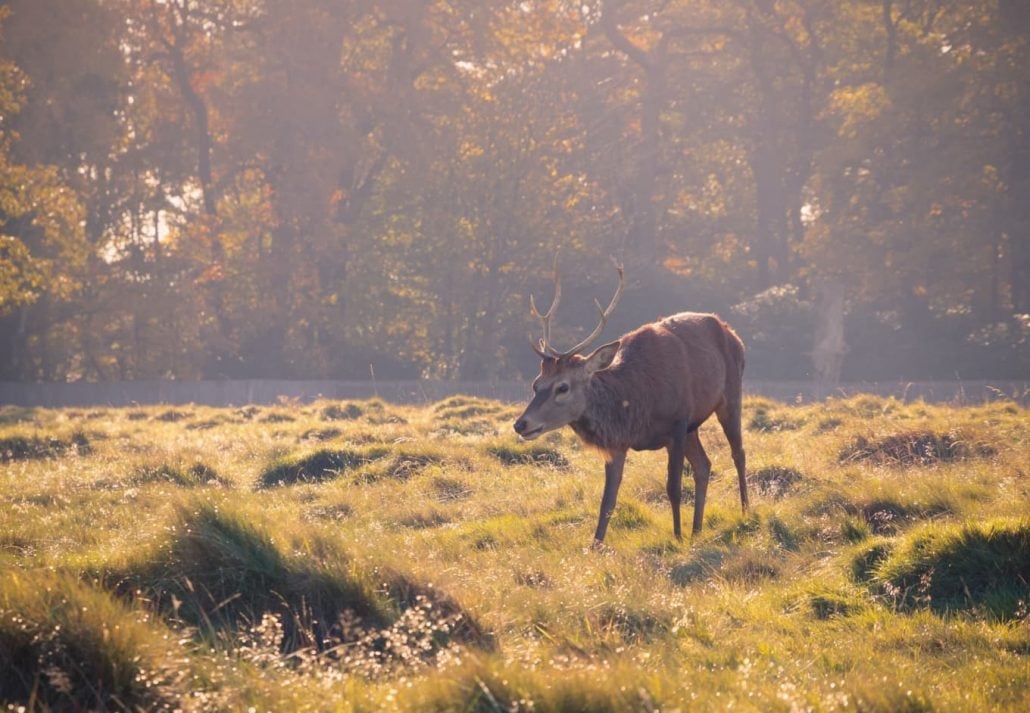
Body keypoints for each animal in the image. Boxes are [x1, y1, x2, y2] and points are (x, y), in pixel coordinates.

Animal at [515, 261, 749, 544]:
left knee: (738, 453)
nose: (521, 424)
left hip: (730, 395)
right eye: (536, 383)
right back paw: (697, 529)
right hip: (694, 426)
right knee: (704, 465)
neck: (635, 409)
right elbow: (607, 501)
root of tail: (733, 334)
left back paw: (744, 512)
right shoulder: (618, 444)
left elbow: (673, 487)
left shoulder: (677, 424)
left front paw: (677, 537)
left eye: (563, 386)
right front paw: (595, 546)